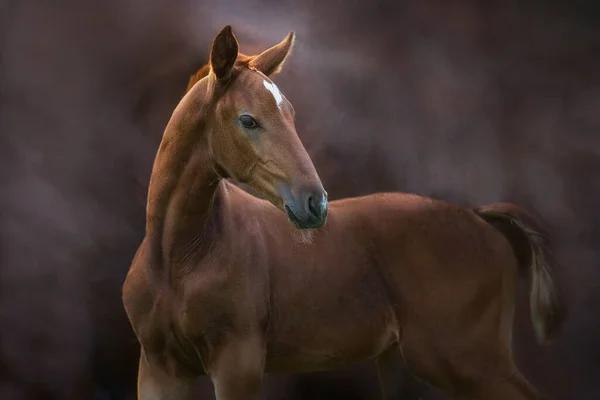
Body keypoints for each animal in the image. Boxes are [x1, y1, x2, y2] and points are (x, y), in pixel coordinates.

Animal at [123, 25, 568, 400]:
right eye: (248, 120)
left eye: (292, 116)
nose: (314, 203)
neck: (182, 258)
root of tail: (478, 216)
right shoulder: (160, 369)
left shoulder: (238, 365)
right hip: (407, 365)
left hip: (469, 360)